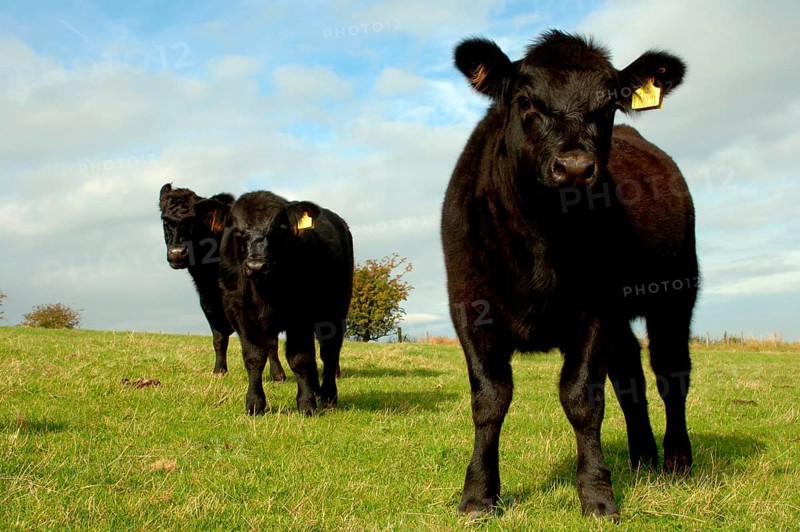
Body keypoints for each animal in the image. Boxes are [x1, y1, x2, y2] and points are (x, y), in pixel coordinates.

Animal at [158, 183, 286, 381]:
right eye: (165, 221)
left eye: (194, 221)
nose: (177, 253)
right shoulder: (209, 303)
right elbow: (218, 338)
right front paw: (219, 370)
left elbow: (271, 340)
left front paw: (277, 375)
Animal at [195, 191, 354, 416]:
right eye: (237, 229)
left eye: (279, 228)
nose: (256, 265)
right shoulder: (242, 317)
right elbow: (254, 358)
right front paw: (254, 403)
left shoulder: (301, 317)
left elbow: (300, 359)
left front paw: (307, 404)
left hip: (335, 311)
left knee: (329, 352)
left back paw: (328, 397)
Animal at [441, 30, 698, 519]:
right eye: (526, 100)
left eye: (609, 104)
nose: (575, 167)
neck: (541, 234)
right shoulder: (468, 303)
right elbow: (489, 398)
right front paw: (479, 494)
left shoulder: (595, 308)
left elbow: (582, 399)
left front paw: (597, 495)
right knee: (630, 374)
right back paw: (643, 457)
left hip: (677, 293)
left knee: (670, 372)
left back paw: (677, 460)